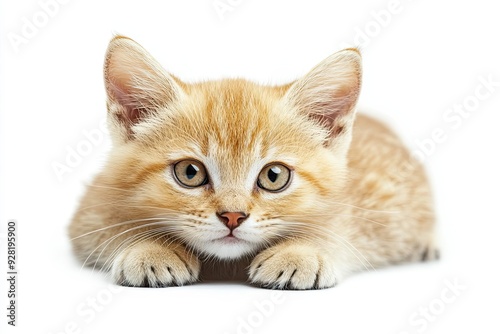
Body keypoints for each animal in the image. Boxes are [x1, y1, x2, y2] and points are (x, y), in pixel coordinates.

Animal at [68, 36, 436, 290]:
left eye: (274, 176)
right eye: (190, 172)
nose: (233, 216)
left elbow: (337, 228)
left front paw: (301, 251)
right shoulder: (93, 204)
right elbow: (110, 224)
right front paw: (150, 247)